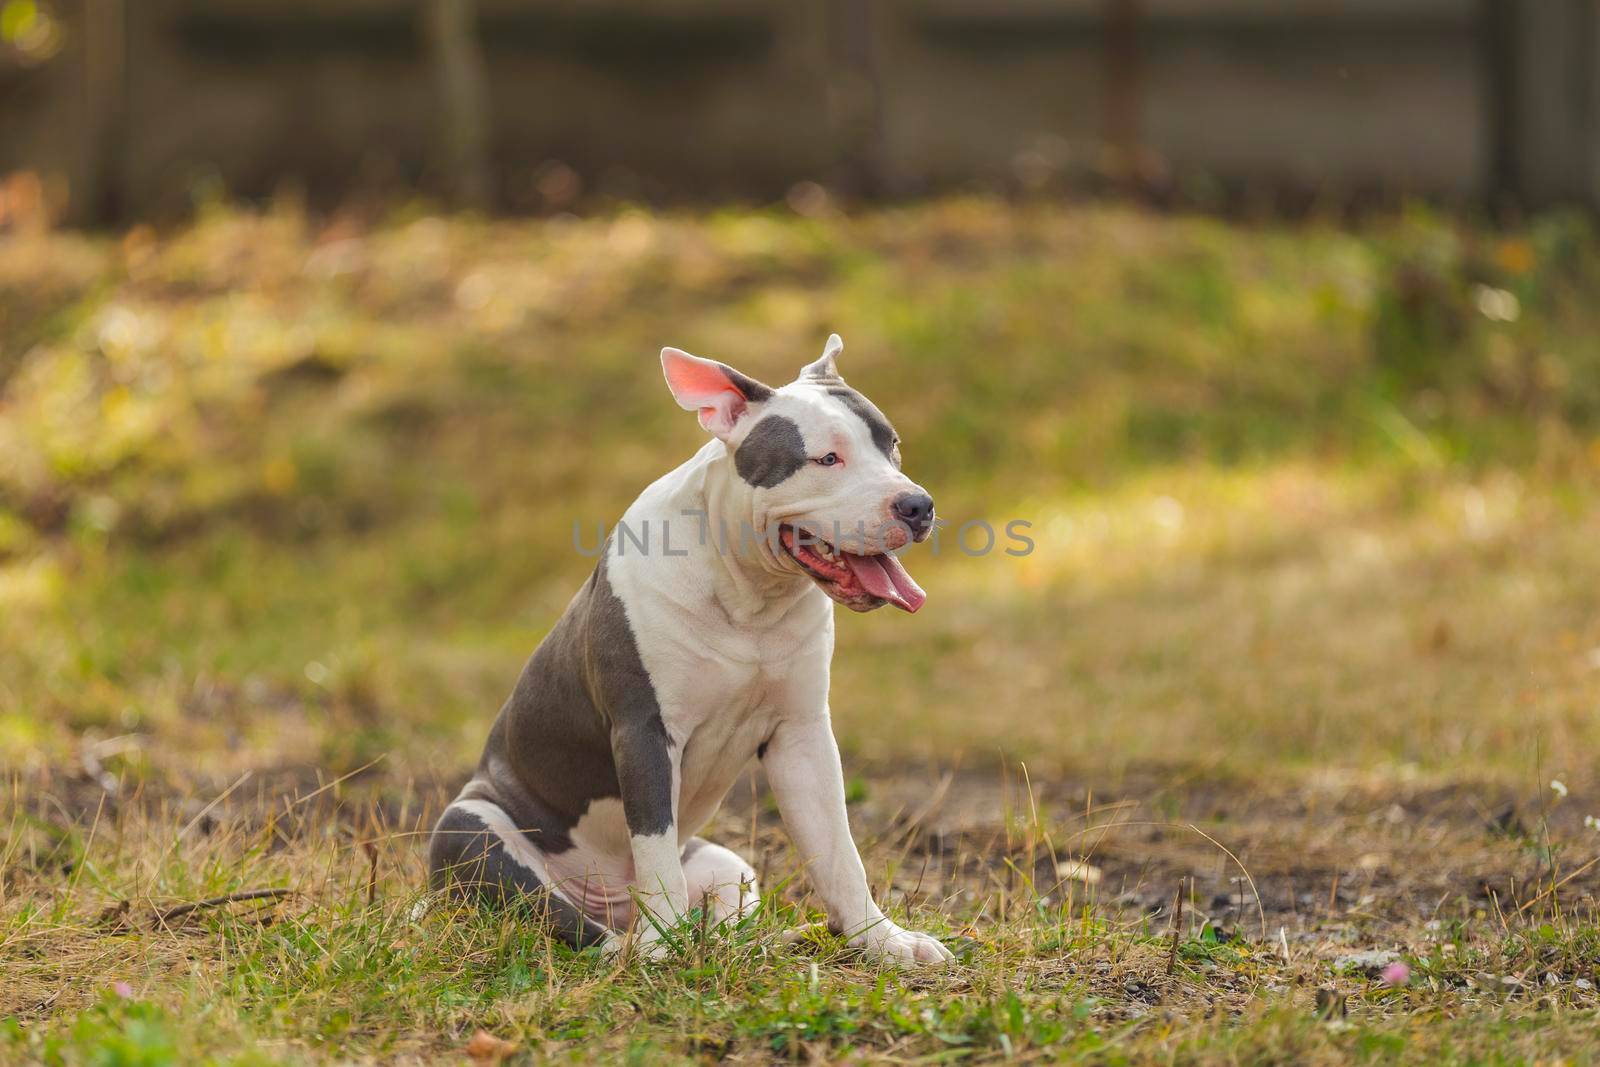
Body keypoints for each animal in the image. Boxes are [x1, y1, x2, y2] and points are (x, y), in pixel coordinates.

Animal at [428, 334, 947, 966]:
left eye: (891, 445)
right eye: (826, 459)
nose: (917, 505)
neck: (748, 597)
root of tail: (611, 900)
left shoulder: (801, 734)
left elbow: (838, 851)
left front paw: (884, 941)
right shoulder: (645, 731)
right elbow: (653, 848)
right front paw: (663, 950)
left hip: (724, 862)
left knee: (719, 922)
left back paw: (772, 942)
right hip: (472, 829)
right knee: (577, 928)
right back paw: (641, 949)